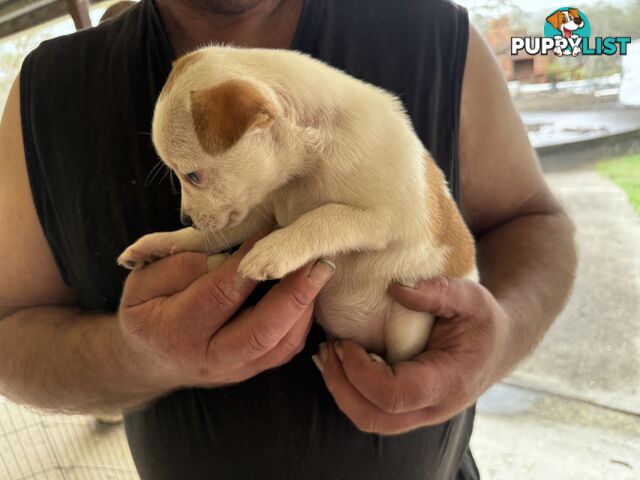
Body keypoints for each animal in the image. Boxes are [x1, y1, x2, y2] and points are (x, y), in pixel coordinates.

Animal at [117, 46, 476, 364]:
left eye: (192, 176)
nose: (185, 218)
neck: (306, 168)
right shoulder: (257, 214)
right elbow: (205, 238)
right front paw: (157, 244)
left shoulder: (380, 219)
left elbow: (326, 216)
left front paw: (274, 249)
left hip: (410, 321)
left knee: (400, 353)